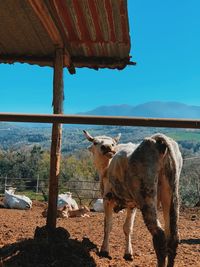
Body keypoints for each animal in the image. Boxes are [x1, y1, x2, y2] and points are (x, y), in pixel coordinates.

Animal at [84, 131, 183, 267]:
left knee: (159, 235)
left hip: (146, 196)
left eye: (113, 143)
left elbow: (108, 225)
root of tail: (156, 140)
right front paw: (128, 253)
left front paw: (104, 250)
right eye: (95, 142)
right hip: (171, 194)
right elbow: (128, 228)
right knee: (173, 236)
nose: (107, 147)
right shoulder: (132, 205)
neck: (107, 166)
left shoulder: (107, 199)